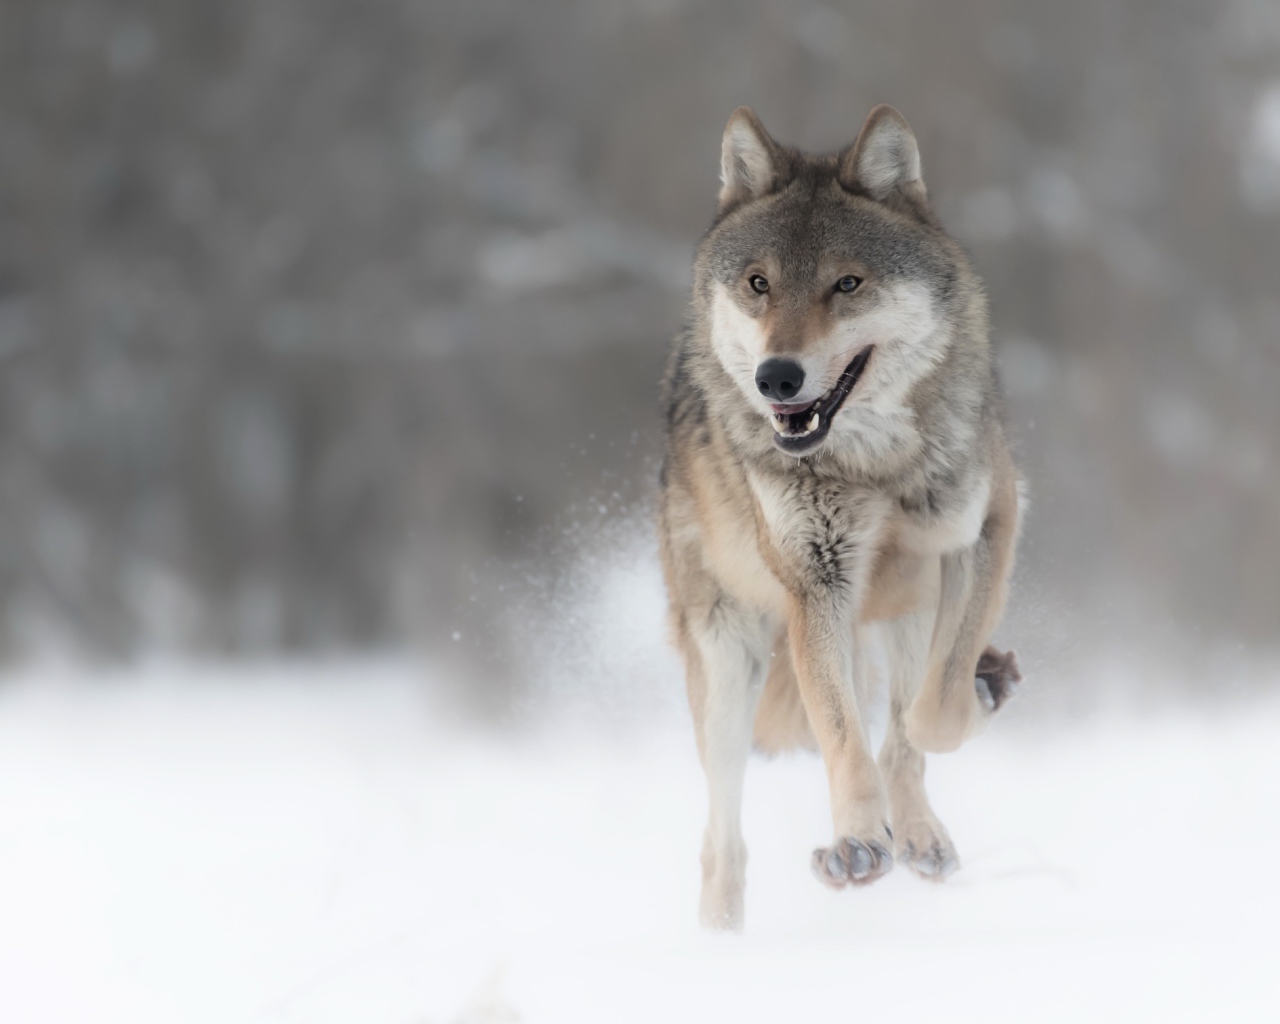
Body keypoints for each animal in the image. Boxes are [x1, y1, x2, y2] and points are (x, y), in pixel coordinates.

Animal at [655, 101, 1024, 926]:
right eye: (759, 284)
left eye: (846, 284)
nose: (777, 377)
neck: (871, 465)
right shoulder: (815, 585)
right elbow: (845, 736)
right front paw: (856, 843)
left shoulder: (988, 527)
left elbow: (931, 715)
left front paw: (965, 707)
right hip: (730, 667)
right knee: (722, 841)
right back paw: (720, 934)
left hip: (904, 610)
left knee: (910, 712)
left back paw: (923, 829)